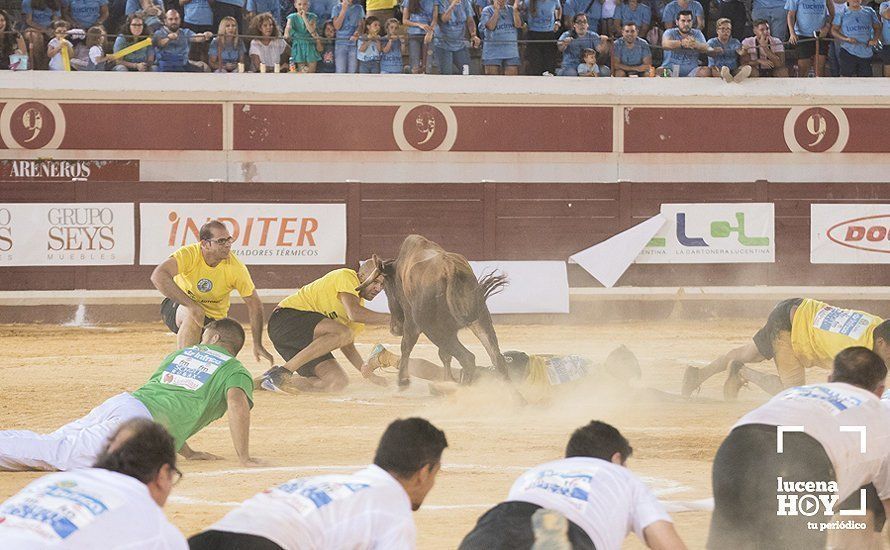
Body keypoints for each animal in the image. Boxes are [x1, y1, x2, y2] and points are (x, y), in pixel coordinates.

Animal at [354, 236, 506, 388]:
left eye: (386, 287)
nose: (394, 329)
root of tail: (450, 267)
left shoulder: (411, 322)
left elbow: (406, 346)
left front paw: (403, 380)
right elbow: (445, 355)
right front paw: (448, 379)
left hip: (432, 328)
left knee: (467, 358)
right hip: (480, 319)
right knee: (496, 357)